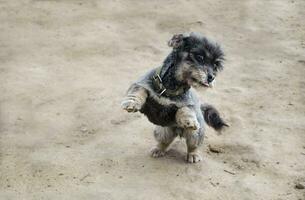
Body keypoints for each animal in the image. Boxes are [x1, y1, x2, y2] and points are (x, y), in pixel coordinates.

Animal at [120, 32, 227, 163]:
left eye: (215, 65)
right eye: (199, 57)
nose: (211, 77)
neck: (170, 89)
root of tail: (178, 131)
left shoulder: (189, 104)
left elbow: (185, 109)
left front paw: (189, 120)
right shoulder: (142, 84)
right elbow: (138, 91)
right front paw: (131, 103)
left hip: (196, 134)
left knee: (193, 146)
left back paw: (193, 155)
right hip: (161, 131)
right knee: (164, 142)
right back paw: (158, 149)